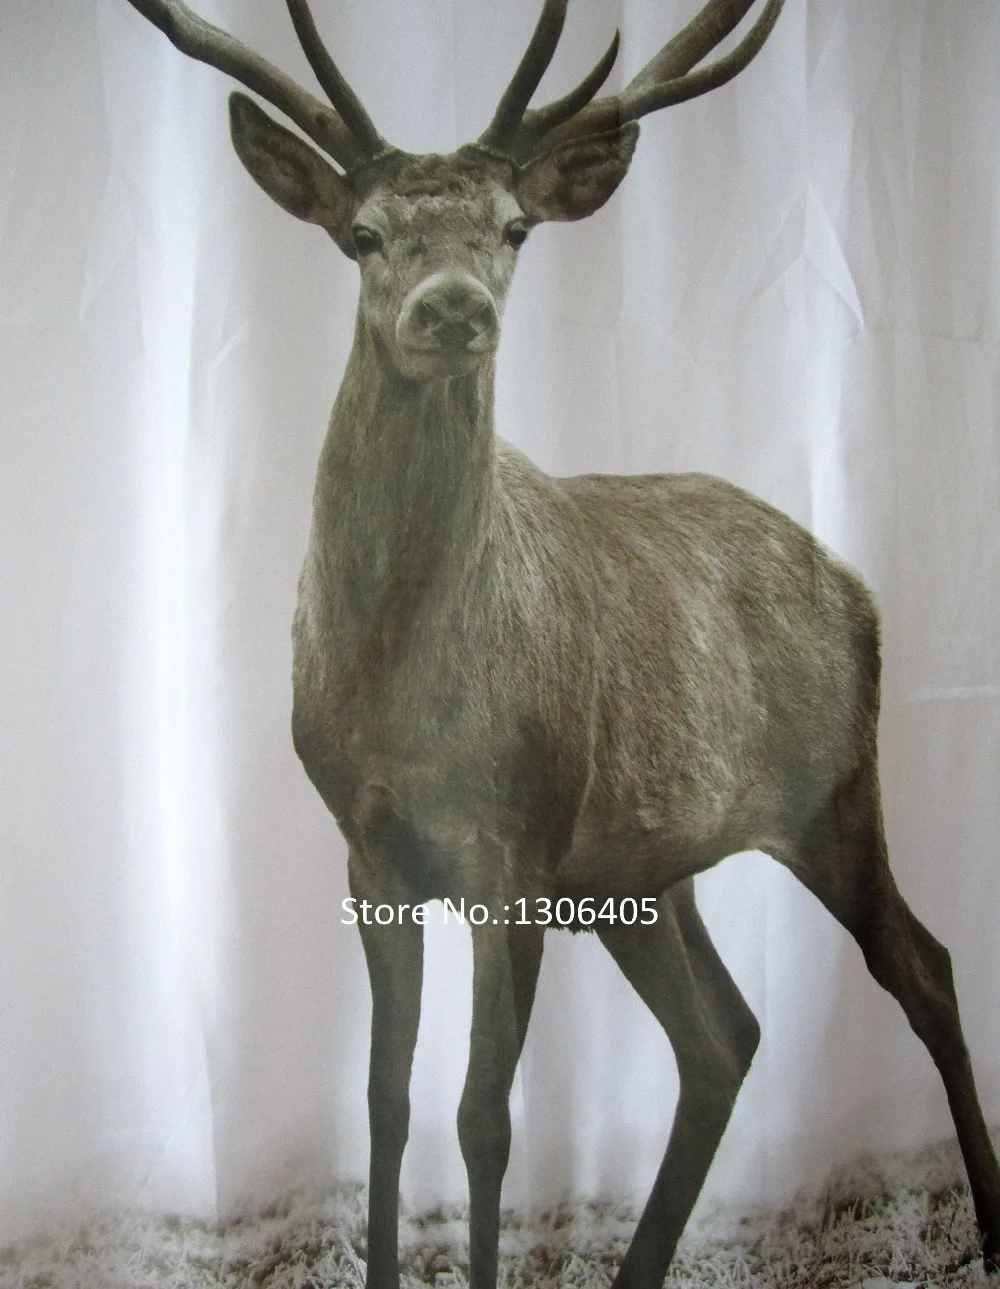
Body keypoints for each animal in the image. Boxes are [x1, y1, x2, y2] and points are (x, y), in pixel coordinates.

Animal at [122, 0, 1000, 1285]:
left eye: (513, 227)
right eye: (362, 233)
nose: (452, 305)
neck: (397, 688)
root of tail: (859, 586)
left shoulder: (517, 851)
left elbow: (483, 1117)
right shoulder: (369, 851)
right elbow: (383, 1102)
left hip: (830, 791)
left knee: (923, 966)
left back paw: (984, 1226)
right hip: (643, 864)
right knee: (725, 1031)